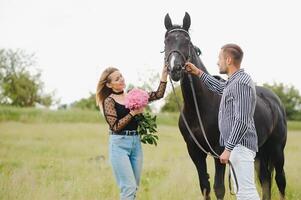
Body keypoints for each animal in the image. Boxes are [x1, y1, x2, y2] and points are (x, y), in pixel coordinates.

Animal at [164, 12, 286, 200]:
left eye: (187, 41)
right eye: (166, 41)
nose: (175, 69)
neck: (199, 108)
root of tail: (275, 101)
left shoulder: (219, 151)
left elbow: (219, 188)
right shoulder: (194, 151)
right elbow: (205, 186)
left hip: (277, 150)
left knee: (280, 181)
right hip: (260, 152)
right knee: (265, 179)